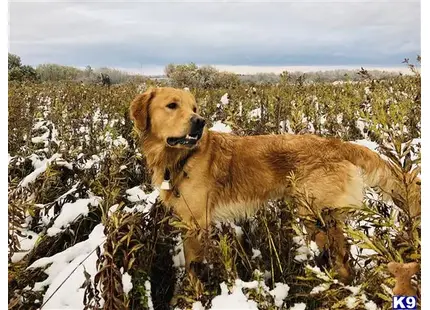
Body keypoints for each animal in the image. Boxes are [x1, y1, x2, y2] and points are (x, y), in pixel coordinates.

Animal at [130, 86, 420, 284]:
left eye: (194, 108)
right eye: (172, 105)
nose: (199, 122)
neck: (180, 158)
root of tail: (337, 144)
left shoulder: (197, 223)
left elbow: (194, 269)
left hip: (315, 214)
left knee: (342, 258)